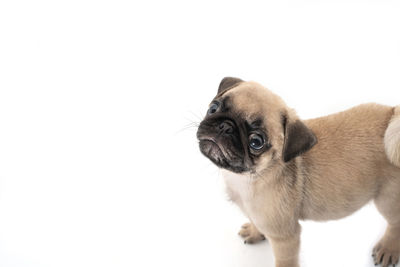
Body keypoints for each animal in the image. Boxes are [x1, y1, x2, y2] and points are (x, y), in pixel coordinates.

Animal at [196, 77, 400, 267]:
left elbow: (285, 261)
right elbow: (255, 221)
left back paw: (388, 248)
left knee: (394, 224)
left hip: (388, 199)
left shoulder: (285, 238)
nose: (225, 126)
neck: (249, 177)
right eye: (213, 108)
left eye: (256, 142)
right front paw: (255, 231)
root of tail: (392, 114)